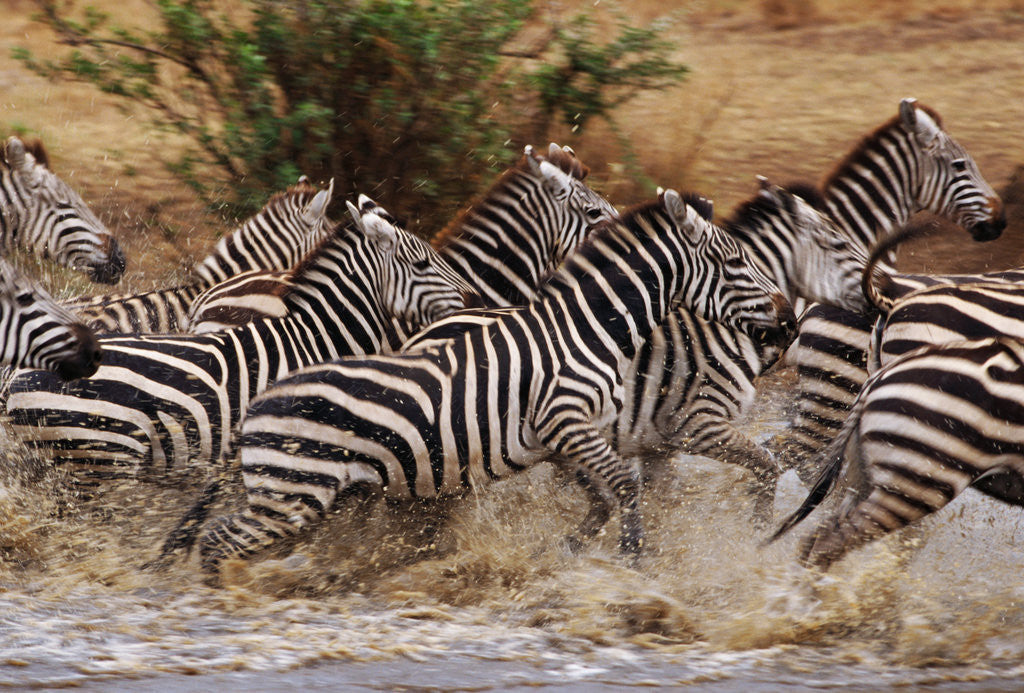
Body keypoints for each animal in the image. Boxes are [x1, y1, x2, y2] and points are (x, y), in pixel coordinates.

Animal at [192, 188, 795, 574]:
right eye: (736, 261)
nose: (789, 319)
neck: (586, 330)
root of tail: (259, 401)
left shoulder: (565, 439)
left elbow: (607, 495)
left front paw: (570, 551)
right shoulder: (572, 421)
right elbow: (627, 487)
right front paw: (637, 558)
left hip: (313, 493)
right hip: (293, 493)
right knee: (218, 538)